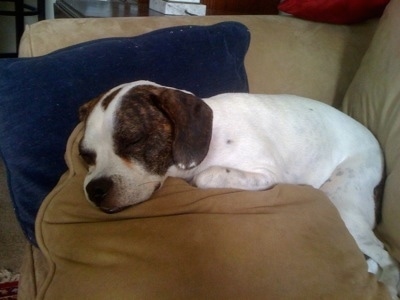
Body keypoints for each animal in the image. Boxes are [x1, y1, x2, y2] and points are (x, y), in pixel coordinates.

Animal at [79, 79, 400, 298]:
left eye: (134, 140)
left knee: (387, 257)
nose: (95, 189)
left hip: (342, 205)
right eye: (85, 155)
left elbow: (205, 177)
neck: (209, 138)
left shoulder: (265, 174)